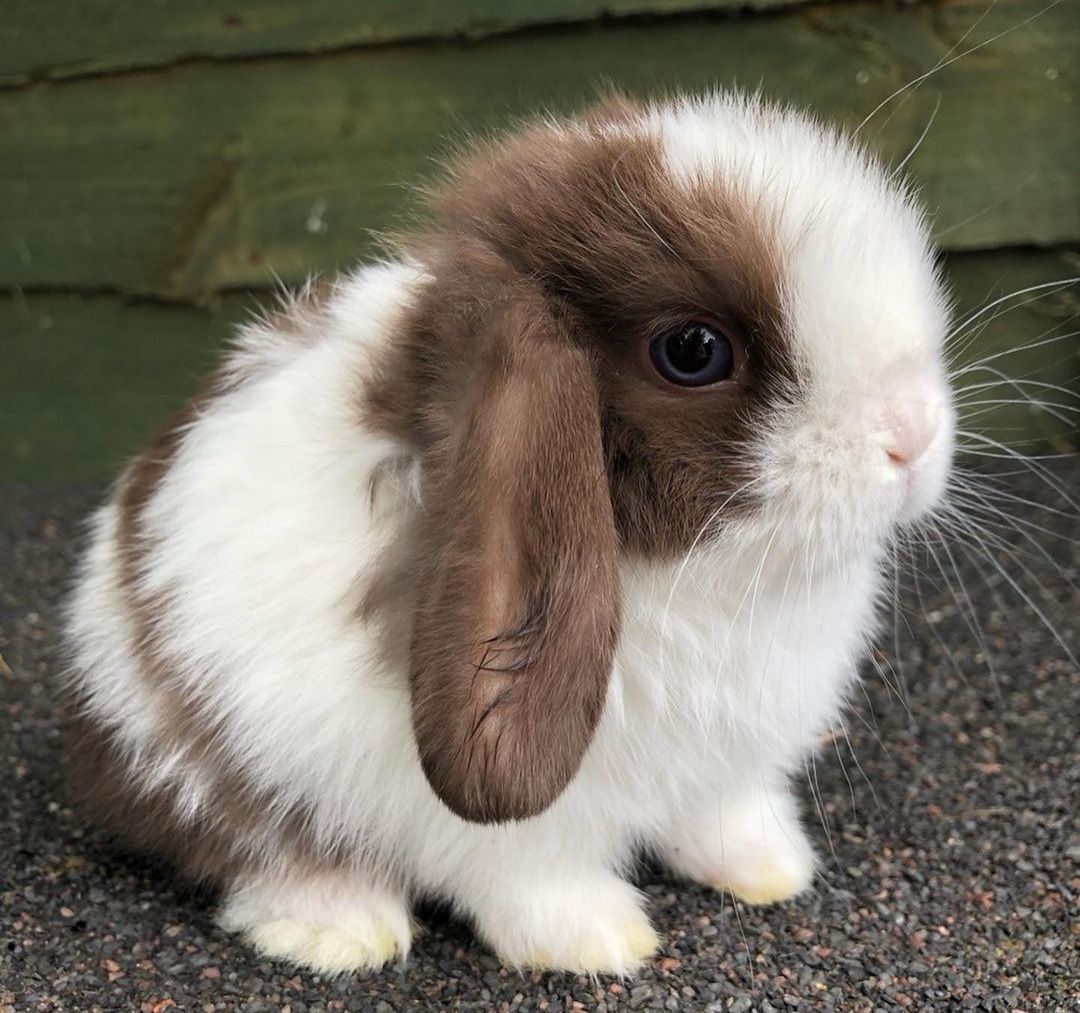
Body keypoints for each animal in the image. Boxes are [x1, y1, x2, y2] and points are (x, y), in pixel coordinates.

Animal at [61, 92, 954, 971]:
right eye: (694, 350)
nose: (913, 433)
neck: (711, 580)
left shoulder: (726, 772)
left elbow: (726, 817)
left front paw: (772, 870)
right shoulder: (508, 825)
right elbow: (532, 874)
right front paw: (599, 939)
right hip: (205, 756)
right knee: (255, 846)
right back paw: (342, 928)